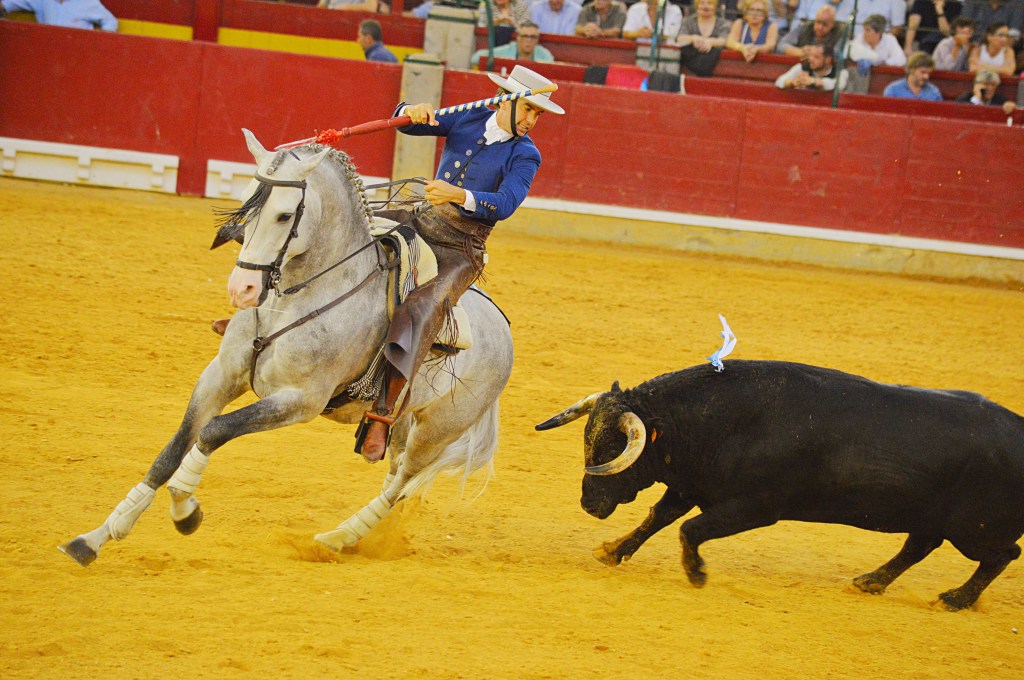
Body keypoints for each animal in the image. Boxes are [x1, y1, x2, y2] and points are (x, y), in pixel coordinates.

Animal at [59, 129, 515, 566]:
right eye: (246, 205)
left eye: (283, 215)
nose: (242, 289)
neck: (296, 299)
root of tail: (504, 329)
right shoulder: (219, 375)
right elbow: (174, 447)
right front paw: (97, 536)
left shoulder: (300, 400)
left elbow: (214, 430)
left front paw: (185, 509)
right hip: (402, 421)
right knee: (396, 473)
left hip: (438, 429)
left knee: (402, 482)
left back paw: (337, 538)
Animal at [535, 360, 1024, 610]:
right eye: (589, 440)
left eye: (612, 448)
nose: (588, 504)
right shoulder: (695, 486)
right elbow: (659, 517)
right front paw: (612, 551)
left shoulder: (754, 507)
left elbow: (689, 529)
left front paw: (697, 574)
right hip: (934, 520)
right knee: (919, 545)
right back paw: (870, 582)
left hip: (976, 530)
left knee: (1003, 554)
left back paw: (955, 599)